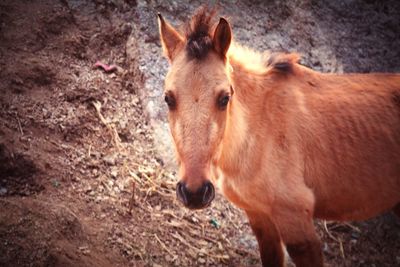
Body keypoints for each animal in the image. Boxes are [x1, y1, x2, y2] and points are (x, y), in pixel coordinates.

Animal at [156, 6, 400, 267]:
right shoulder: (260, 217)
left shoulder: (297, 226)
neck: (259, 134)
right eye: (168, 98)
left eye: (224, 97)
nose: (194, 192)